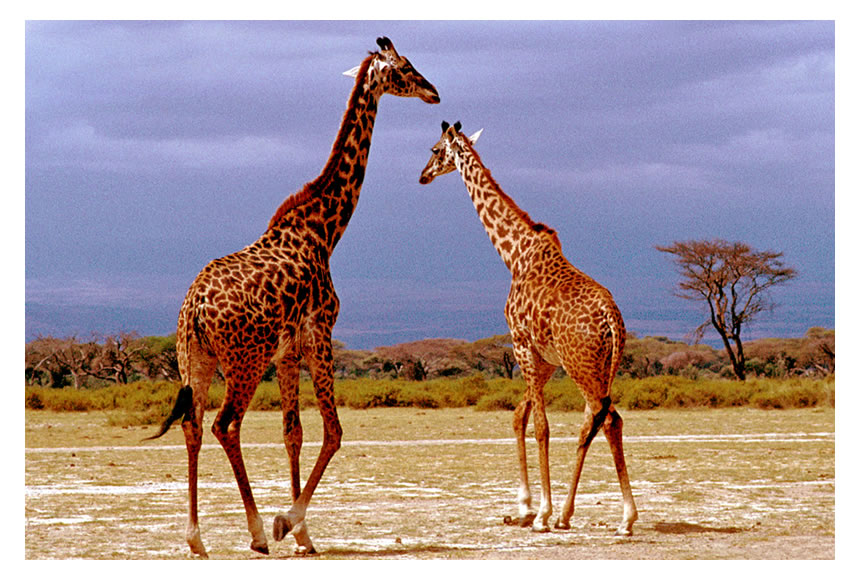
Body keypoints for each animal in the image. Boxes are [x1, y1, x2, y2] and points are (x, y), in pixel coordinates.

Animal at [147, 37, 436, 556]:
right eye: (405, 68)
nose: (434, 92)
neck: (324, 231)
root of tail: (194, 308)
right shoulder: (319, 333)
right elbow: (333, 431)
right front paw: (289, 523)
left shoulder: (286, 352)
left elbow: (292, 432)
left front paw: (304, 535)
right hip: (244, 361)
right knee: (225, 425)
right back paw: (258, 532)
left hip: (193, 359)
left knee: (192, 425)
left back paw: (197, 538)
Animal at [420, 123, 636, 540]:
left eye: (436, 150)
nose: (422, 175)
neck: (514, 254)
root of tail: (611, 318)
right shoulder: (545, 359)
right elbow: (520, 415)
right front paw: (524, 507)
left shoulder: (521, 344)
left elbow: (540, 425)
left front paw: (540, 514)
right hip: (601, 367)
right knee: (599, 421)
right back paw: (591, 516)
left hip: (582, 366)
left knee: (605, 420)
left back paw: (615, 517)